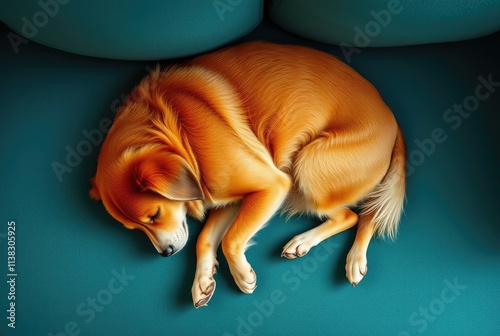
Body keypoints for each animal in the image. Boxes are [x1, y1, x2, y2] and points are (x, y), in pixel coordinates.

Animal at [90, 42, 406, 310]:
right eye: (134, 228)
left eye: (154, 215)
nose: (164, 253)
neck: (179, 132)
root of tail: (393, 120)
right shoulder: (227, 198)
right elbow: (204, 238)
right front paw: (202, 281)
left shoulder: (272, 185)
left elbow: (230, 239)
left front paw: (242, 275)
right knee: (355, 213)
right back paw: (305, 244)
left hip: (307, 167)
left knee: (358, 215)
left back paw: (347, 257)